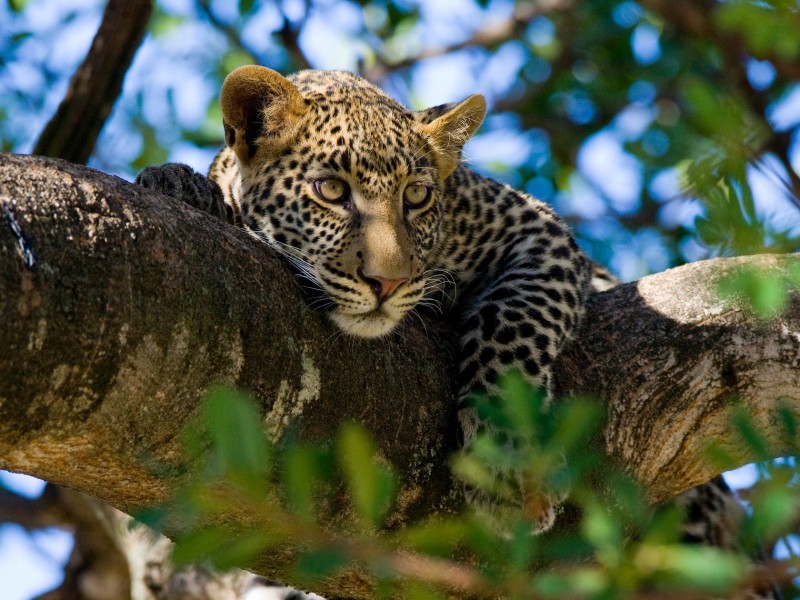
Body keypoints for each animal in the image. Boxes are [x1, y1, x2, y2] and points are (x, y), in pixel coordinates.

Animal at [136, 66, 781, 599]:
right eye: (332, 191)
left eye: (418, 197)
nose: (388, 282)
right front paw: (178, 184)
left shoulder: (537, 230)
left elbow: (516, 318)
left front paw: (505, 458)